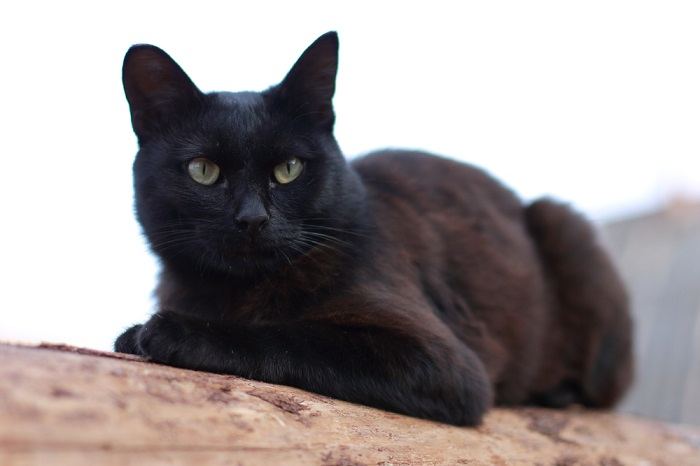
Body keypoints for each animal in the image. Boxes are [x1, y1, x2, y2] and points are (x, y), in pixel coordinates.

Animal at [116, 31, 636, 426]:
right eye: (203, 170)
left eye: (288, 169)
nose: (252, 219)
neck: (231, 294)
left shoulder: (440, 360)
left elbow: (293, 336)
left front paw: (163, 332)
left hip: (564, 225)